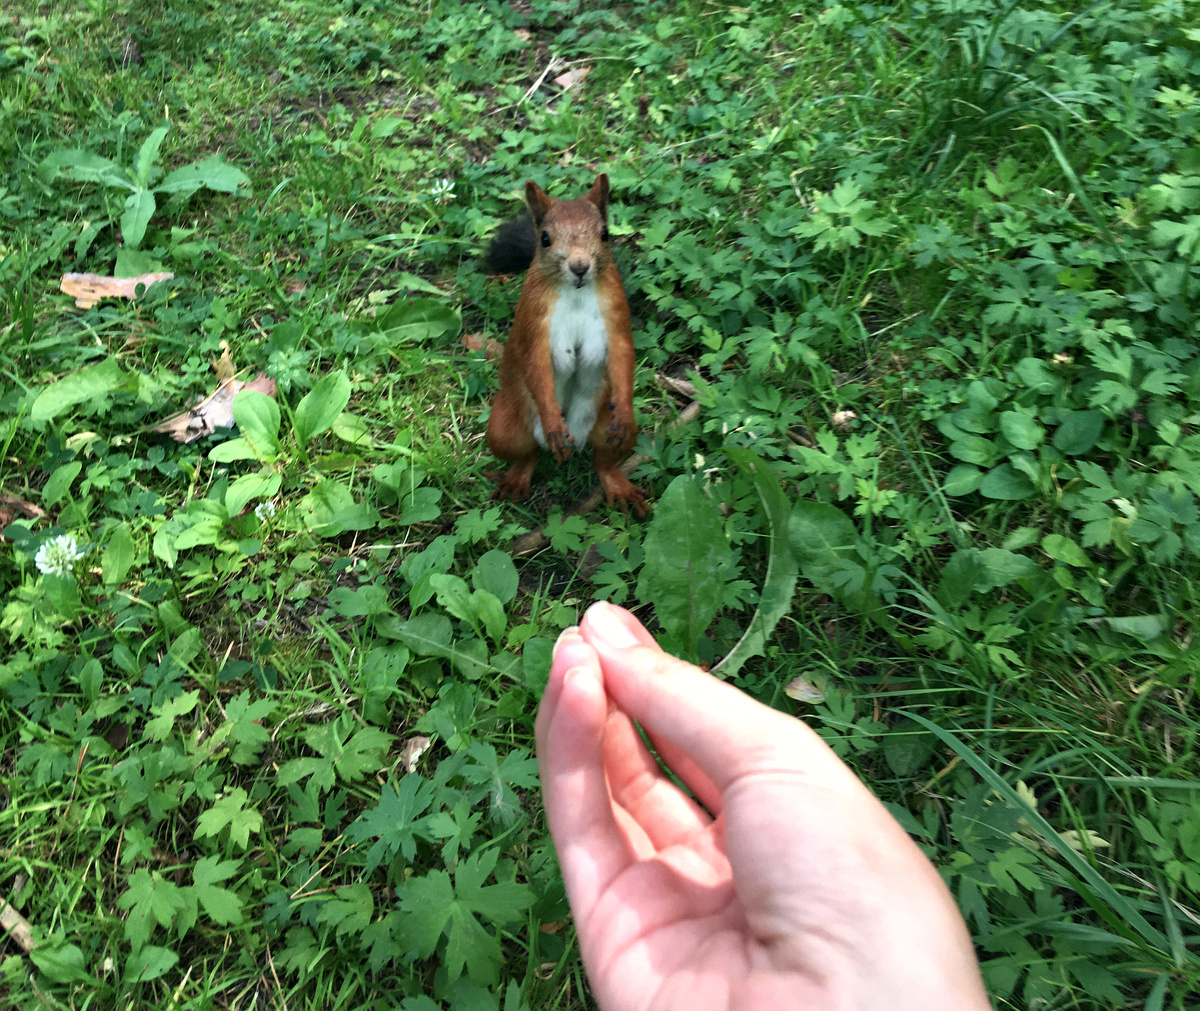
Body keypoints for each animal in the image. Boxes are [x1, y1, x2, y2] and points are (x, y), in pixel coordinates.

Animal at [484, 174, 648, 516]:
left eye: (605, 233)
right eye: (545, 239)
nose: (580, 267)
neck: (575, 293)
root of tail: (578, 440)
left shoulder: (615, 310)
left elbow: (623, 355)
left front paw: (625, 407)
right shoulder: (533, 318)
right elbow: (535, 364)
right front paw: (552, 421)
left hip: (606, 427)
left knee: (604, 461)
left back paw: (618, 484)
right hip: (505, 428)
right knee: (526, 454)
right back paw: (519, 475)